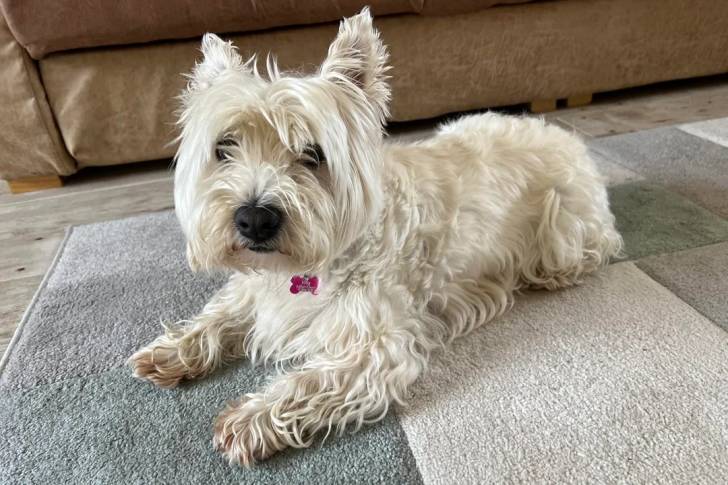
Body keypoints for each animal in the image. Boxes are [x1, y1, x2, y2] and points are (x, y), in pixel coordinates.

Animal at [129, 7, 623, 467]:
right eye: (224, 147)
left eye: (313, 154)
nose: (253, 219)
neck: (304, 267)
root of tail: (568, 136)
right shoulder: (256, 288)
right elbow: (219, 315)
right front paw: (171, 351)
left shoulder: (378, 345)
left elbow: (311, 379)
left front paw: (249, 419)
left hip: (562, 237)